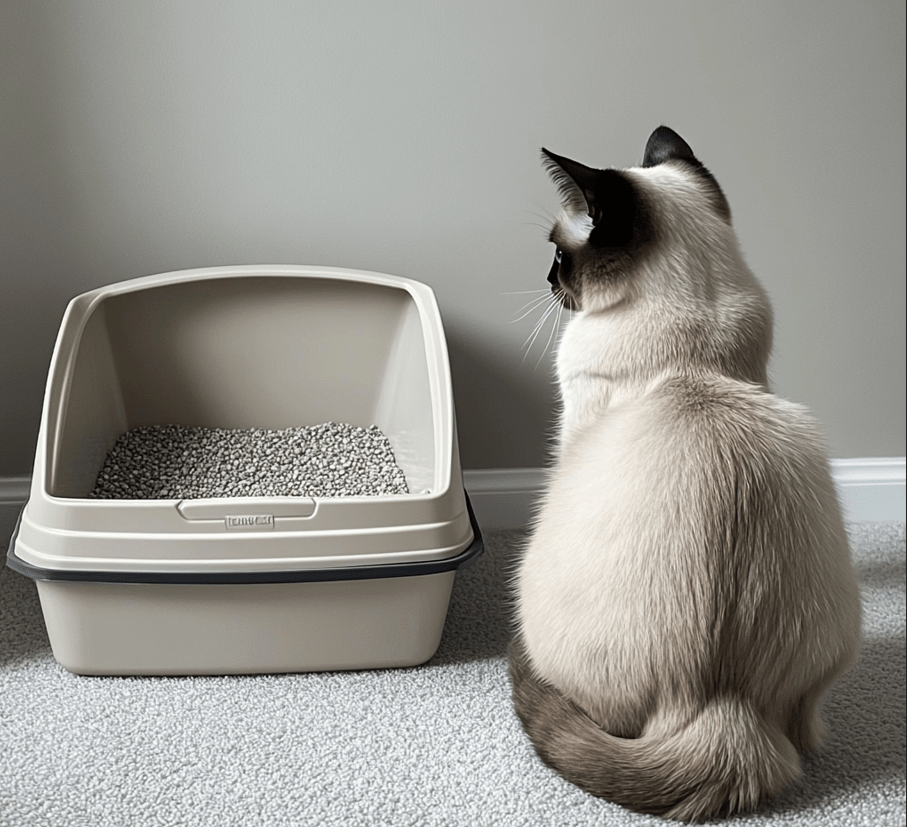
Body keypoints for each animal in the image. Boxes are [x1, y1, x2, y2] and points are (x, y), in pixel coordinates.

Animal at [516, 126, 860, 820]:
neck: (693, 358)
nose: (547, 279)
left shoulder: (574, 423)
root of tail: (723, 705)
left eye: (559, 254)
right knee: (805, 738)